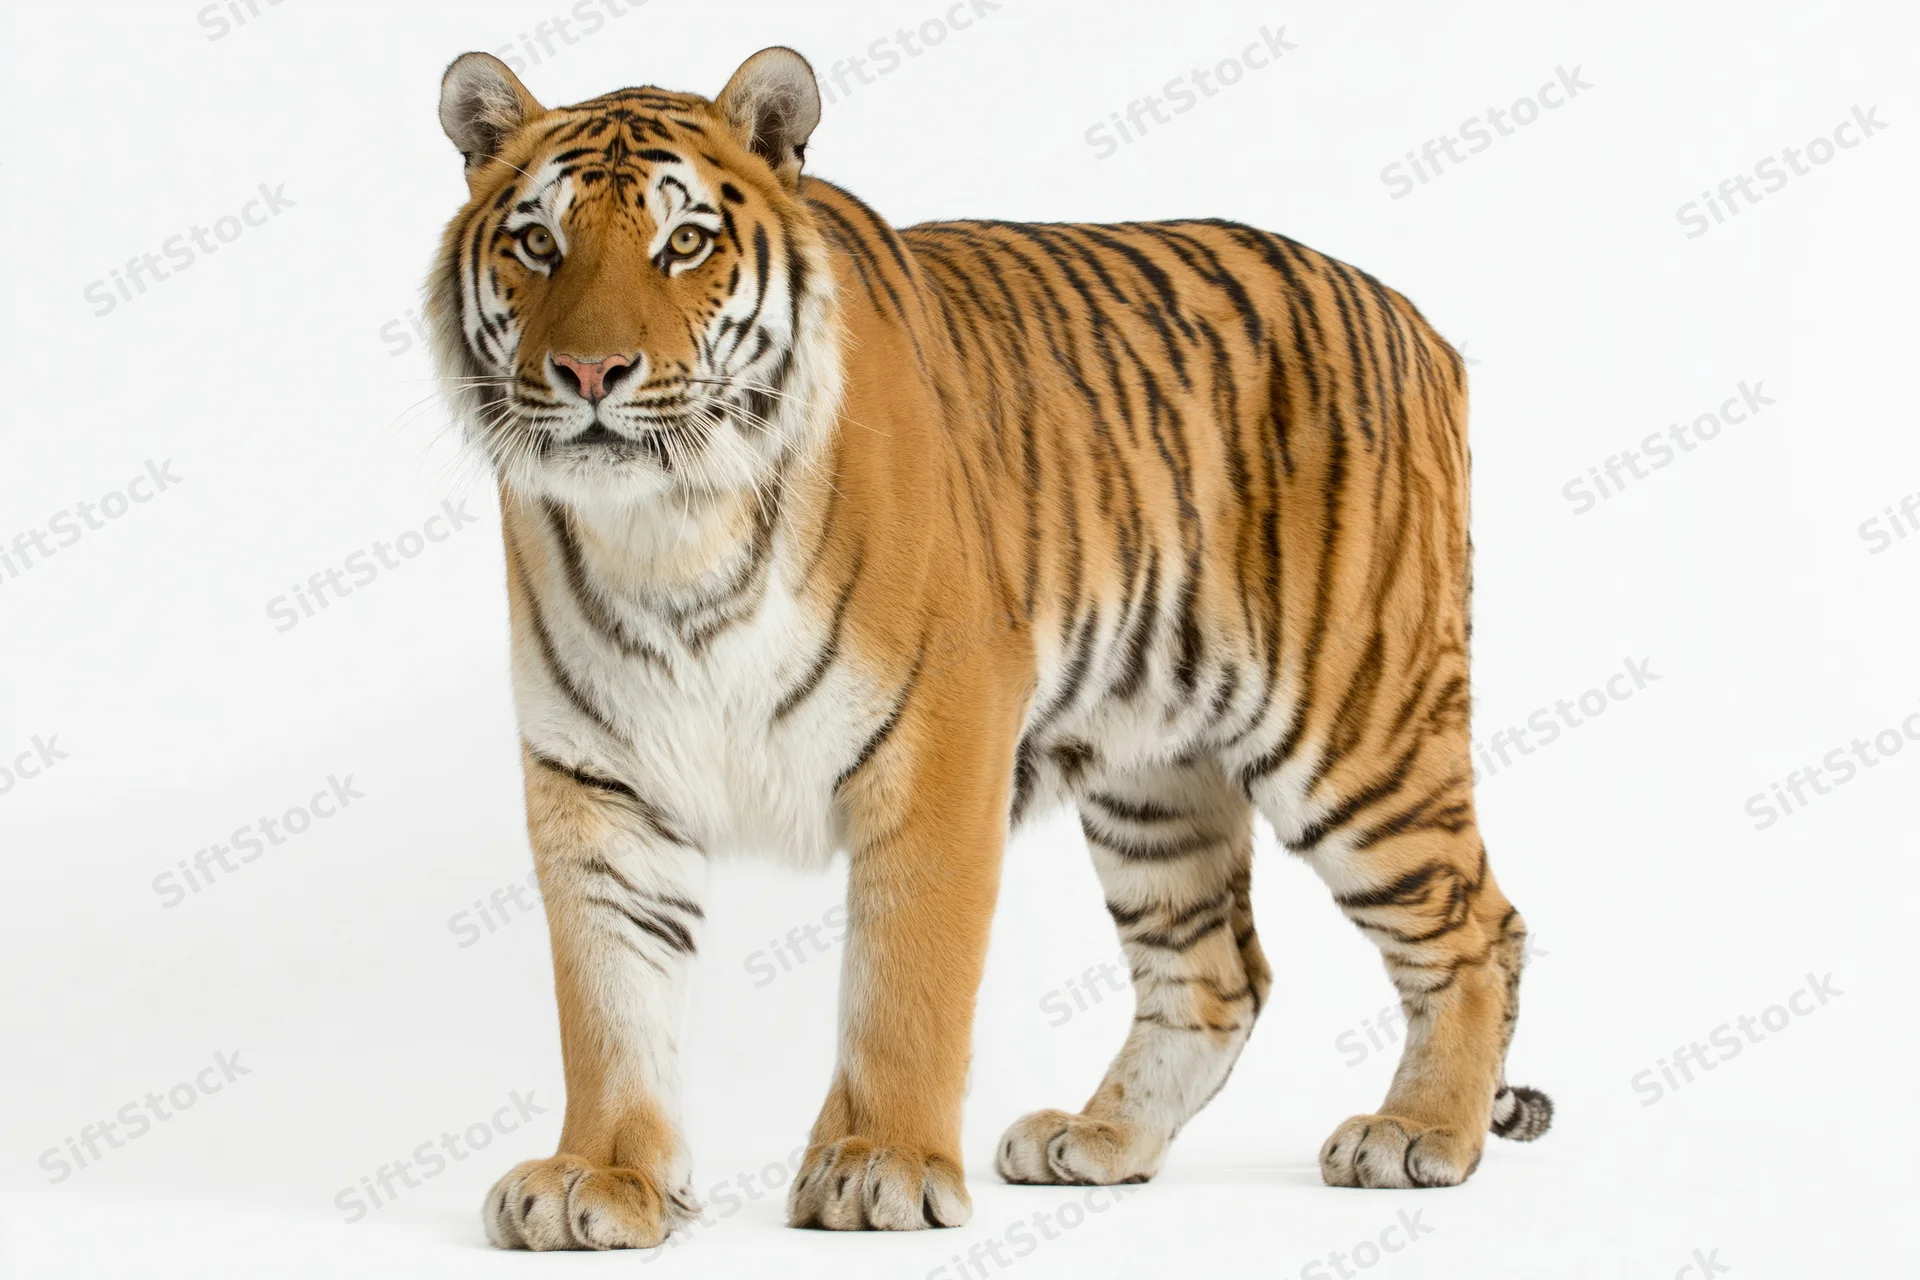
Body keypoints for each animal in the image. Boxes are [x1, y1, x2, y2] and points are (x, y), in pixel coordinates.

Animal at [428, 45, 1552, 1251]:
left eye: (683, 242)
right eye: (537, 242)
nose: (592, 373)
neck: (669, 530)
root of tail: (1414, 318)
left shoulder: (940, 742)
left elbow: (904, 983)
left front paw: (879, 1165)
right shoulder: (598, 778)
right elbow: (608, 998)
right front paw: (597, 1175)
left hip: (1359, 732)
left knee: (1480, 927)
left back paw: (1420, 1132)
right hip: (1154, 772)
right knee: (1216, 973)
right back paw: (1100, 1138)